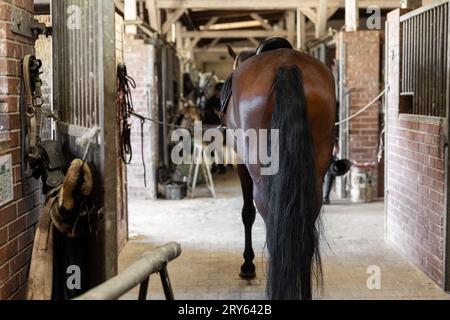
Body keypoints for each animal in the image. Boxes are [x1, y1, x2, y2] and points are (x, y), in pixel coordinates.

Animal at [223, 42, 336, 300]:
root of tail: (286, 65)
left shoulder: (241, 163)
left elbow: (247, 213)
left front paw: (247, 265)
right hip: (314, 180)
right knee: (304, 239)